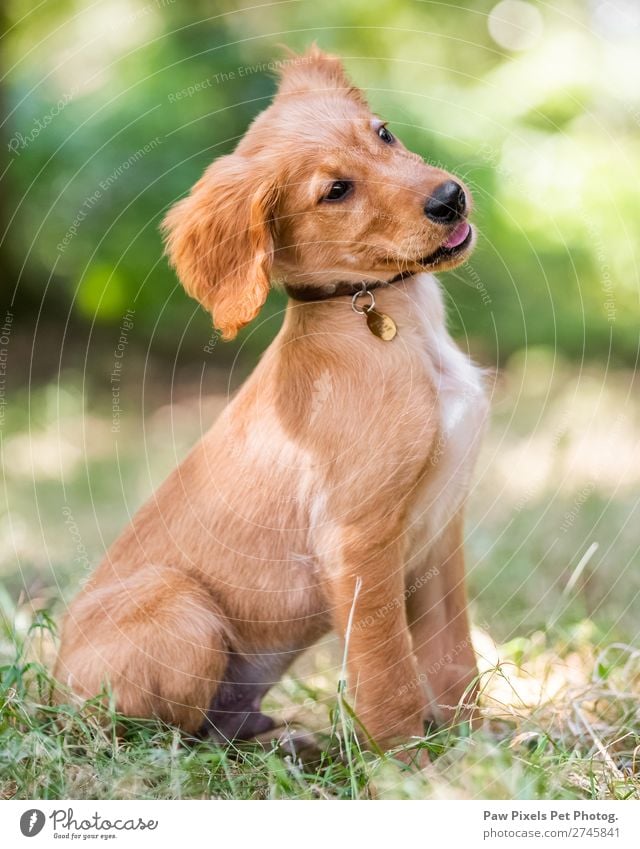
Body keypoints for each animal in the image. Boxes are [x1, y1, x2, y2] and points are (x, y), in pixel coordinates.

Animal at [55, 46, 488, 756]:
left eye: (384, 133)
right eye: (335, 191)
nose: (450, 199)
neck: (389, 323)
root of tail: (46, 691)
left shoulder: (439, 536)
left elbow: (455, 660)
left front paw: (478, 748)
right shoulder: (357, 541)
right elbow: (388, 673)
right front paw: (407, 765)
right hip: (182, 608)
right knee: (158, 740)